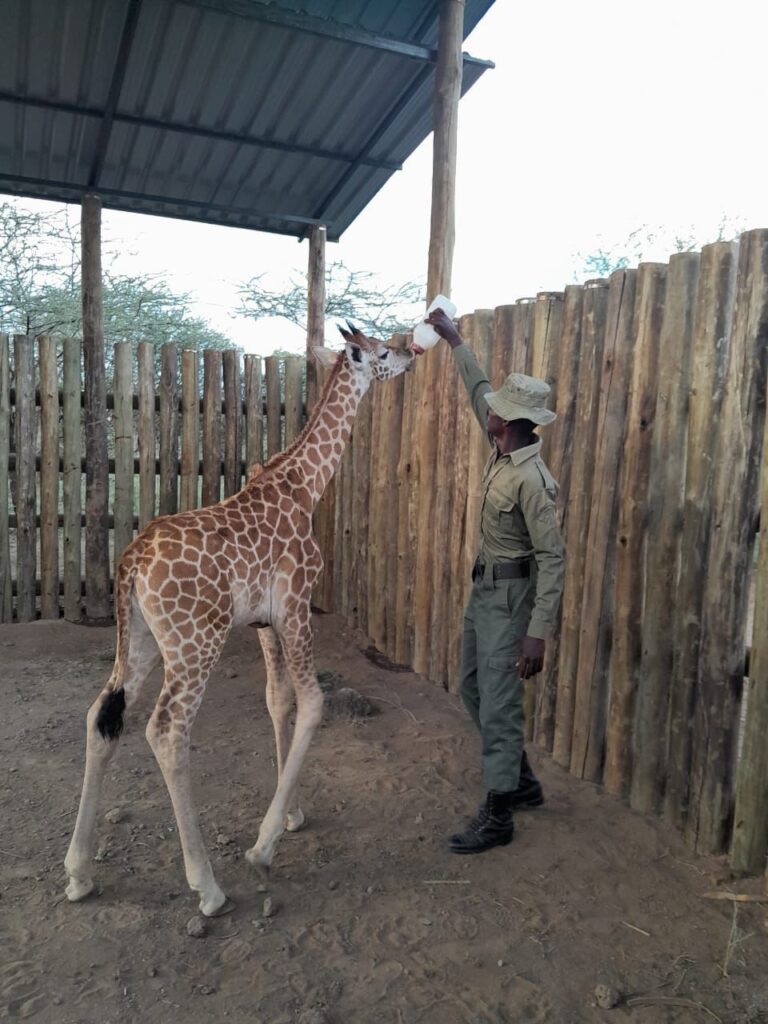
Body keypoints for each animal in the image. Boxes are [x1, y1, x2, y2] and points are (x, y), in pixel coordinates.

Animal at [64, 323, 417, 917]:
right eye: (381, 351)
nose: (413, 351)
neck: (306, 482)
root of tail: (131, 561)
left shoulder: (263, 623)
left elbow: (279, 701)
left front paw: (291, 813)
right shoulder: (297, 604)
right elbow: (313, 703)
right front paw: (264, 845)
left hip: (139, 641)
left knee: (100, 716)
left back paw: (78, 872)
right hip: (195, 643)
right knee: (166, 731)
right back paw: (207, 888)